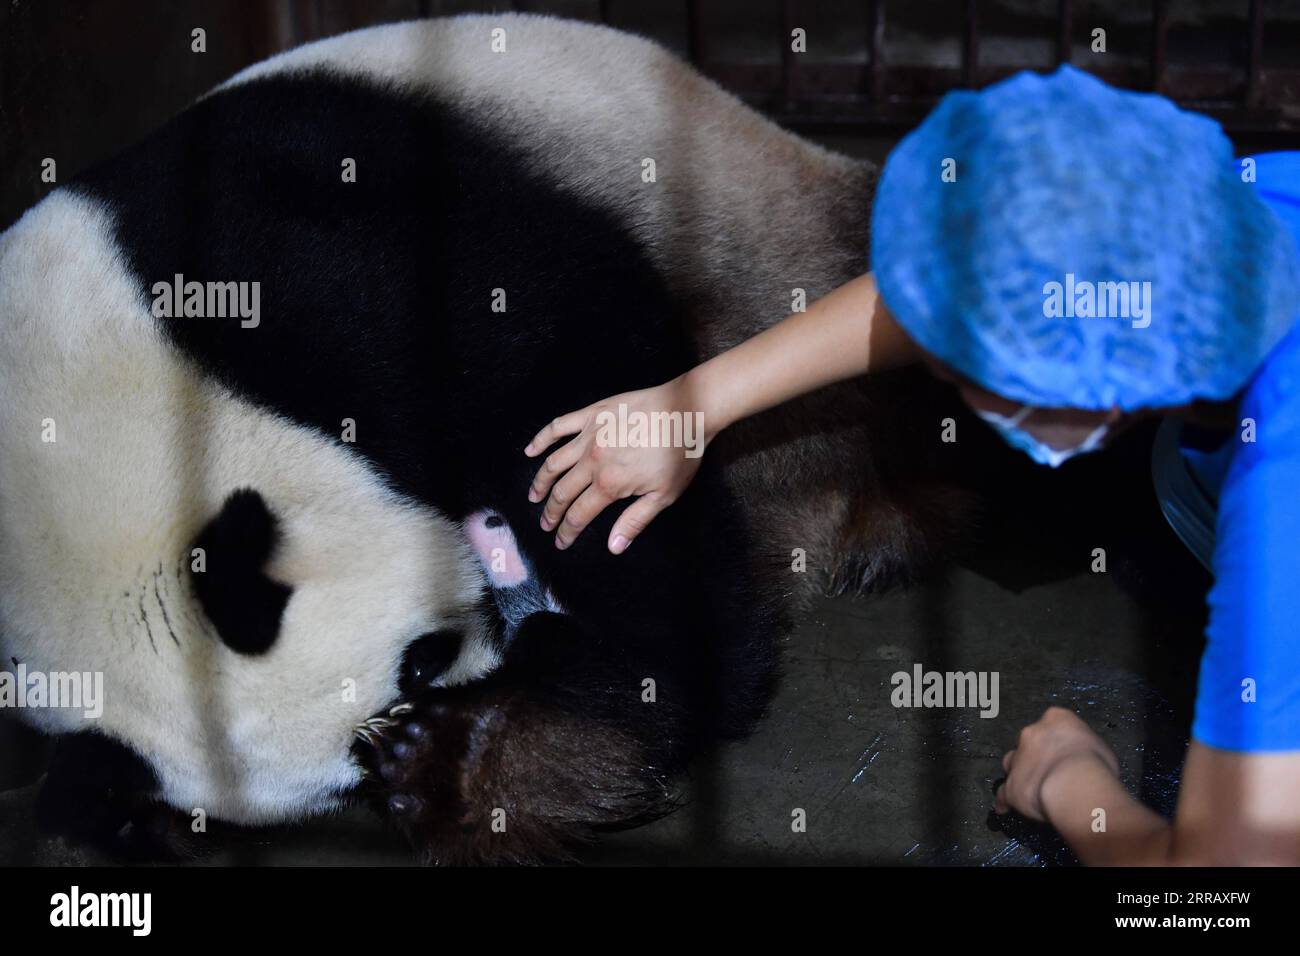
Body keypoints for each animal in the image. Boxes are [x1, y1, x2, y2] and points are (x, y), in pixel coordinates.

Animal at [0, 14, 967, 868]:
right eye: (357, 753)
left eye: (419, 663)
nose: (525, 633)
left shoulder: (277, 260)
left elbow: (566, 371)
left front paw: (564, 723)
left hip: (772, 231)